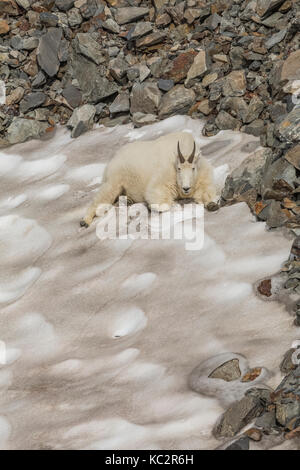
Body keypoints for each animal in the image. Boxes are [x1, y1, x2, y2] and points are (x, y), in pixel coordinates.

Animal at [80, 132, 216, 228]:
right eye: (178, 168)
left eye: (193, 168)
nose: (186, 188)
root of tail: (111, 161)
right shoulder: (162, 178)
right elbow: (159, 198)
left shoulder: (201, 177)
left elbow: (205, 191)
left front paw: (212, 204)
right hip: (115, 179)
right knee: (102, 198)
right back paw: (85, 221)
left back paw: (127, 201)